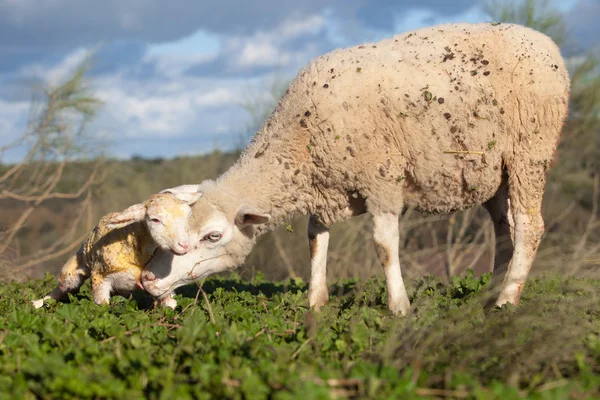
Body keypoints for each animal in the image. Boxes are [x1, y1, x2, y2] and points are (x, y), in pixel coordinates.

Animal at [31, 191, 202, 310]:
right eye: (155, 220)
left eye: (187, 216)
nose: (184, 245)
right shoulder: (100, 278)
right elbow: (103, 308)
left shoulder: (160, 285)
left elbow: (170, 304)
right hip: (72, 270)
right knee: (64, 287)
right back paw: (37, 303)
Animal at [138, 21, 568, 316]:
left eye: (212, 236)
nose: (147, 280)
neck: (300, 135)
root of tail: (546, 44)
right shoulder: (324, 189)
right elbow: (315, 240)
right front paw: (315, 301)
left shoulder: (381, 178)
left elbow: (383, 243)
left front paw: (398, 306)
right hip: (494, 173)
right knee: (504, 229)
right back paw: (490, 294)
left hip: (530, 152)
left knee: (529, 226)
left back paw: (507, 299)